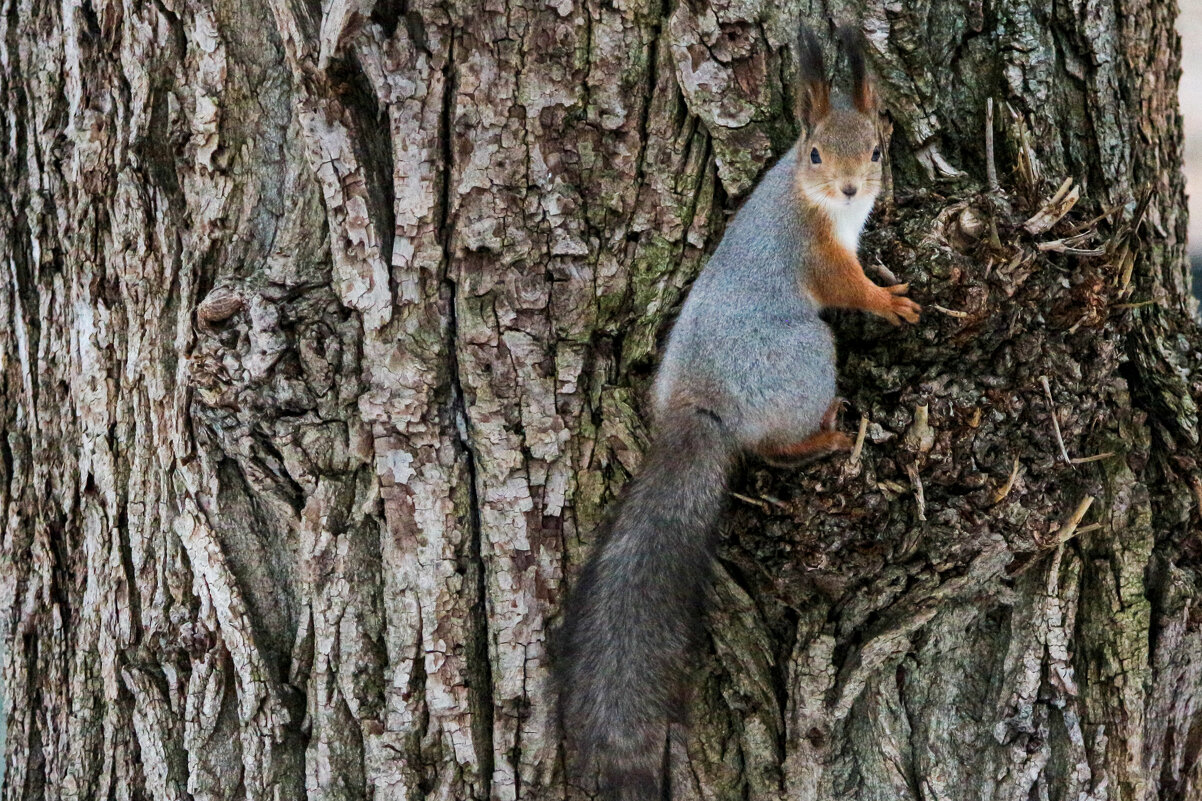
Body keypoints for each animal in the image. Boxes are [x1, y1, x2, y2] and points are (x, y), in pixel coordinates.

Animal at [552, 21, 918, 793]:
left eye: (875, 148)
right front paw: (890, 301)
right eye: (815, 152)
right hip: (806, 358)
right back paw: (825, 437)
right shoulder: (816, 253)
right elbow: (849, 287)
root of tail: (700, 408)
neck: (814, 198)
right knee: (772, 447)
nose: (851, 184)